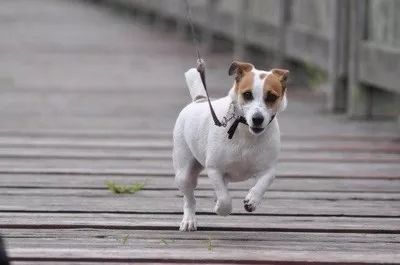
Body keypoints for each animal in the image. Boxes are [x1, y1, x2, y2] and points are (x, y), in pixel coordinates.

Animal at [172, 60, 288, 230]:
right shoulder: (214, 169)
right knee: (190, 199)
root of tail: (199, 100)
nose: (257, 119)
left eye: (272, 97)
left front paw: (252, 200)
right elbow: (225, 199)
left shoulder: (269, 169)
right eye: (247, 94)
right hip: (184, 174)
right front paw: (221, 208)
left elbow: (263, 183)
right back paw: (189, 220)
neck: (246, 133)